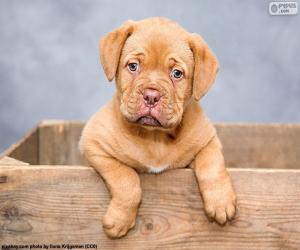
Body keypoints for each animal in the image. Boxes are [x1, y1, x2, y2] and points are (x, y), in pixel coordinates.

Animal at [79, 17, 237, 238]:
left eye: (177, 73)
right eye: (133, 66)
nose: (151, 95)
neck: (155, 137)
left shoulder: (208, 141)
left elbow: (212, 165)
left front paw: (220, 202)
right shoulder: (94, 144)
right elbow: (126, 178)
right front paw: (119, 220)